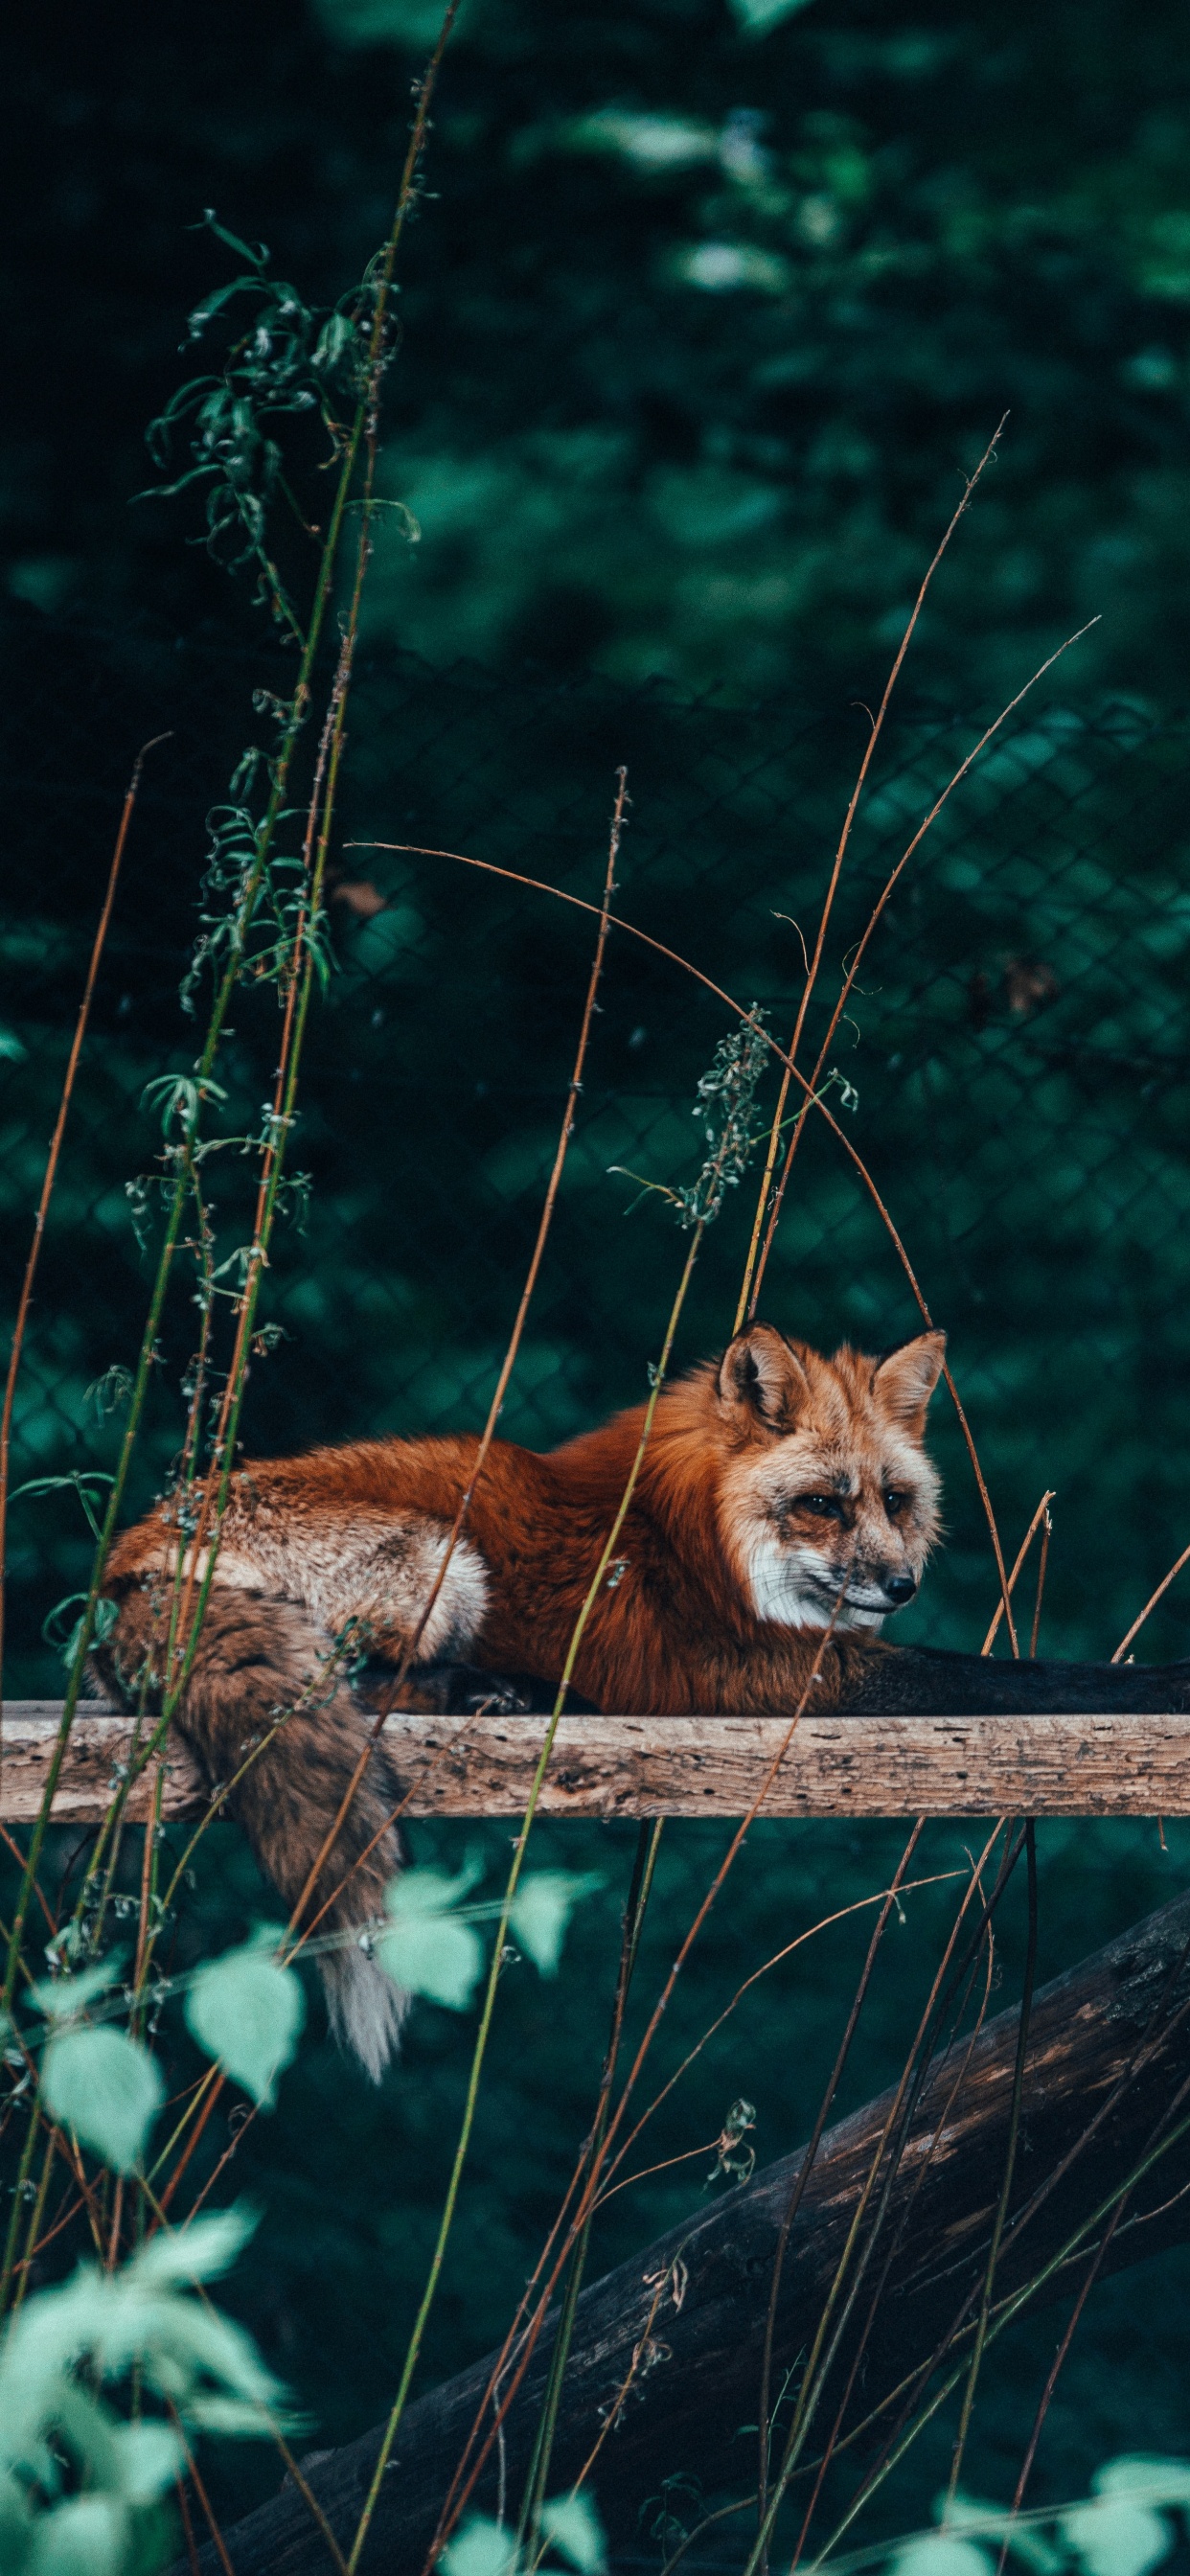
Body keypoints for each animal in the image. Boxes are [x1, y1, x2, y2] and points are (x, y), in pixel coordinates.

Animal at [95, 1321, 1190, 2076]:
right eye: (821, 1505)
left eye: (895, 1500)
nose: (902, 1585)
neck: (694, 1533)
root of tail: (127, 1567)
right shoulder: (785, 1679)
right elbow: (1033, 1675)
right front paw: (1164, 1680)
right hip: (445, 1567)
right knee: (367, 1688)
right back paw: (511, 1691)